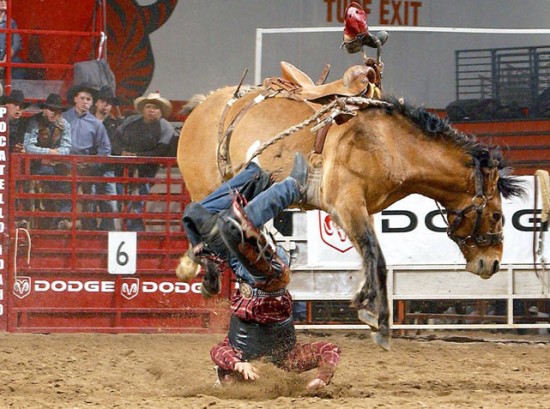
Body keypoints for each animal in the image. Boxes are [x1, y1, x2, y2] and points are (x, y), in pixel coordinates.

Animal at [177, 62, 528, 350]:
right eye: (497, 215)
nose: (492, 263)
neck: (391, 145)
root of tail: (202, 104)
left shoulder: (363, 209)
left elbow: (373, 254)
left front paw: (373, 312)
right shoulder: (345, 203)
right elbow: (376, 256)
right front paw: (374, 315)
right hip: (206, 183)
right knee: (203, 216)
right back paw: (202, 270)